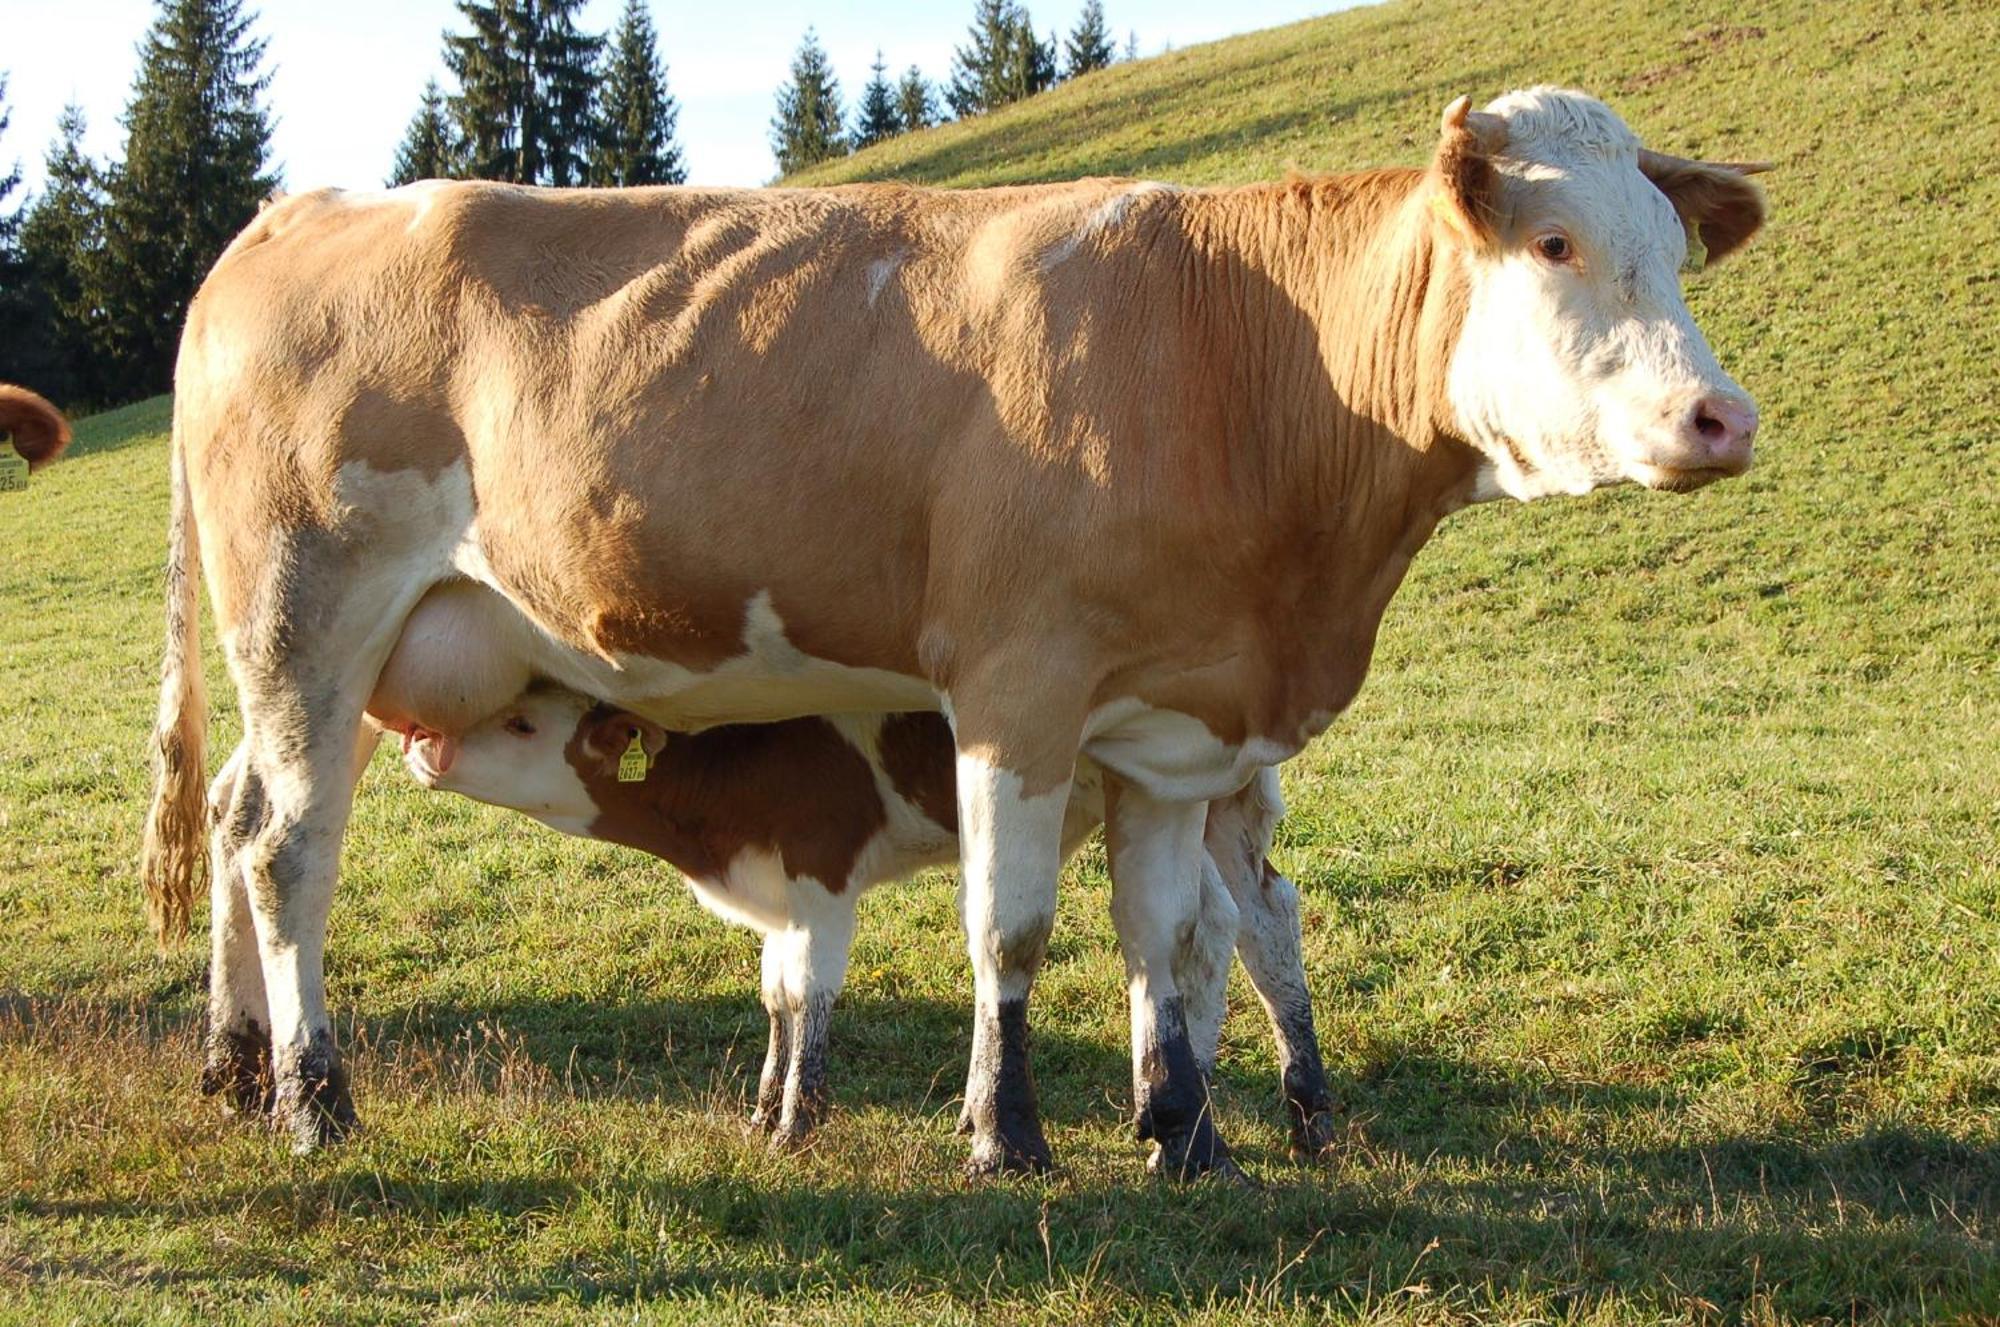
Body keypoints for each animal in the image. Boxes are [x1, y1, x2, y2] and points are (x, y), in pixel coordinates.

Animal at [137, 87, 1768, 1175]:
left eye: (1675, 250)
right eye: (1552, 242)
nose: (1722, 416)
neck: (1240, 357)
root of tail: (300, 212)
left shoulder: (1176, 726)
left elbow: (1164, 931)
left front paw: (1183, 1135)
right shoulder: (1017, 682)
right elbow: (1014, 921)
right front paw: (1007, 1134)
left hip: (339, 657)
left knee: (233, 815)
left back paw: (230, 1061)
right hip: (307, 610)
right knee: (288, 845)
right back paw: (314, 1099)